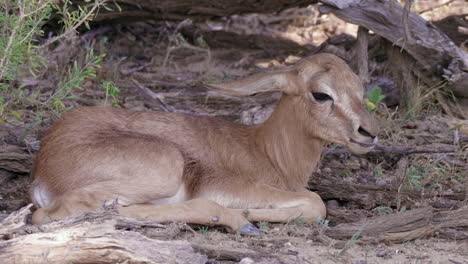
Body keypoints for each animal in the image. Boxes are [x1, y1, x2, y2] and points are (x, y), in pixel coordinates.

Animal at [30, 53, 376, 235]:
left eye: (360, 89)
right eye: (321, 94)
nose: (368, 133)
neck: (266, 152)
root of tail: (44, 161)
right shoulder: (227, 186)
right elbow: (316, 203)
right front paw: (247, 214)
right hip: (167, 166)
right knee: (56, 213)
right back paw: (240, 222)